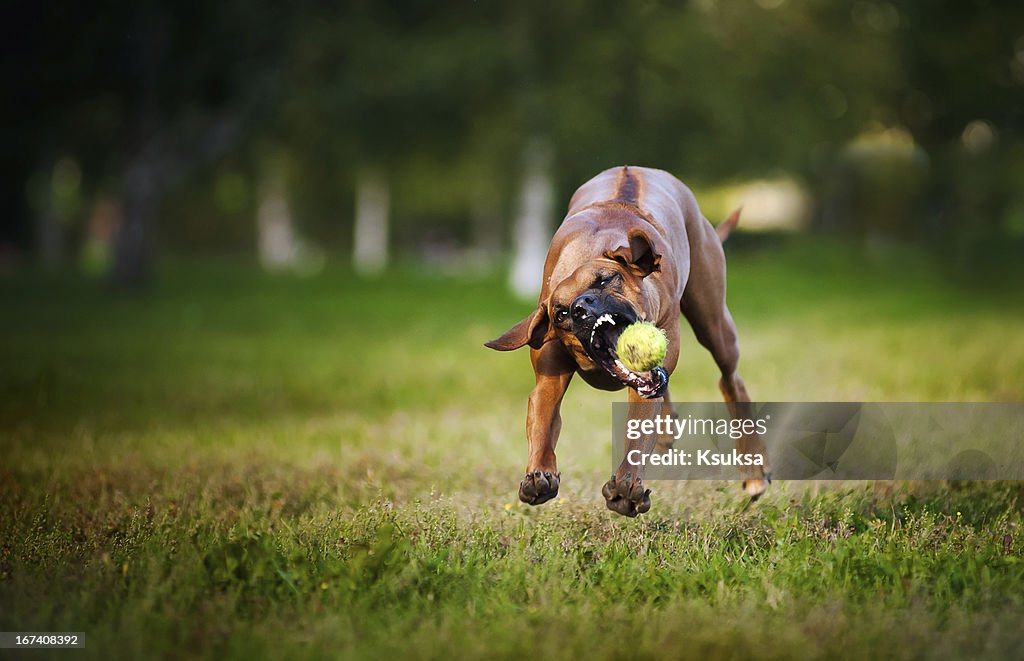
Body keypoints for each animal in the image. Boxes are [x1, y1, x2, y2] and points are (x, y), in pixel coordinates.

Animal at [487, 165, 770, 517]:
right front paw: (539, 475)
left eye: (605, 279)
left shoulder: (645, 381)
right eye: (561, 312)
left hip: (714, 322)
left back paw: (754, 471)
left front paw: (625, 489)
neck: (589, 250)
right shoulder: (547, 379)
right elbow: (542, 419)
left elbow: (638, 433)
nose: (581, 308)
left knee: (731, 380)